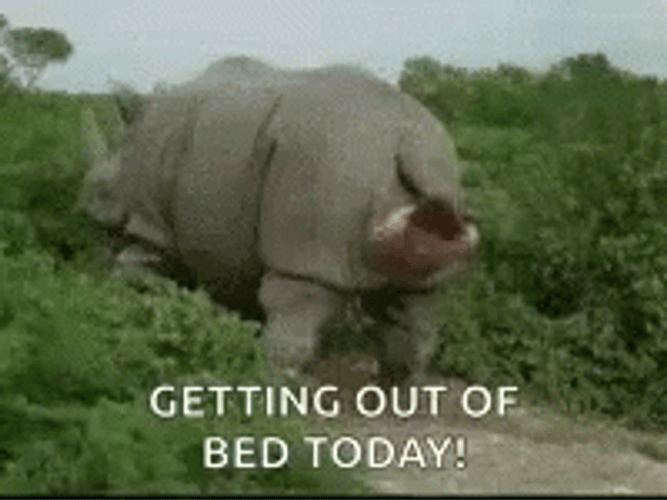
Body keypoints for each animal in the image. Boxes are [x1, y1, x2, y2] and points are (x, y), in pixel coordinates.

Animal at [79, 59, 480, 388]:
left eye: (100, 188)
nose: (87, 209)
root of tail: (409, 143)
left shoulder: (153, 225)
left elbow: (135, 270)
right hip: (427, 165)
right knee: (416, 297)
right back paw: (397, 392)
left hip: (326, 167)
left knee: (300, 293)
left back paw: (270, 388)